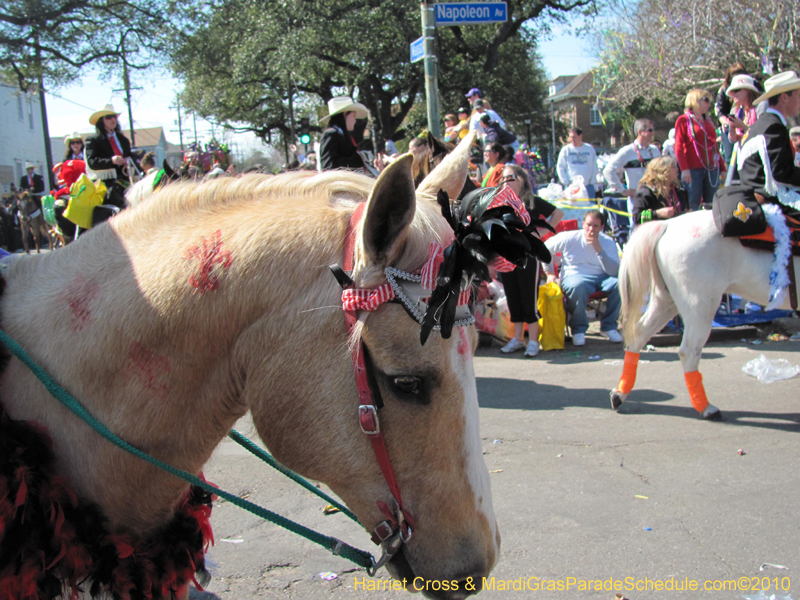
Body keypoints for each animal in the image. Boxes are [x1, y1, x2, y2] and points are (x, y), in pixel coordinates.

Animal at [608, 209, 796, 420]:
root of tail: (668, 224)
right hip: (700, 305)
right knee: (689, 351)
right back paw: (706, 407)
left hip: (665, 300)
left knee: (639, 335)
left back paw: (619, 394)